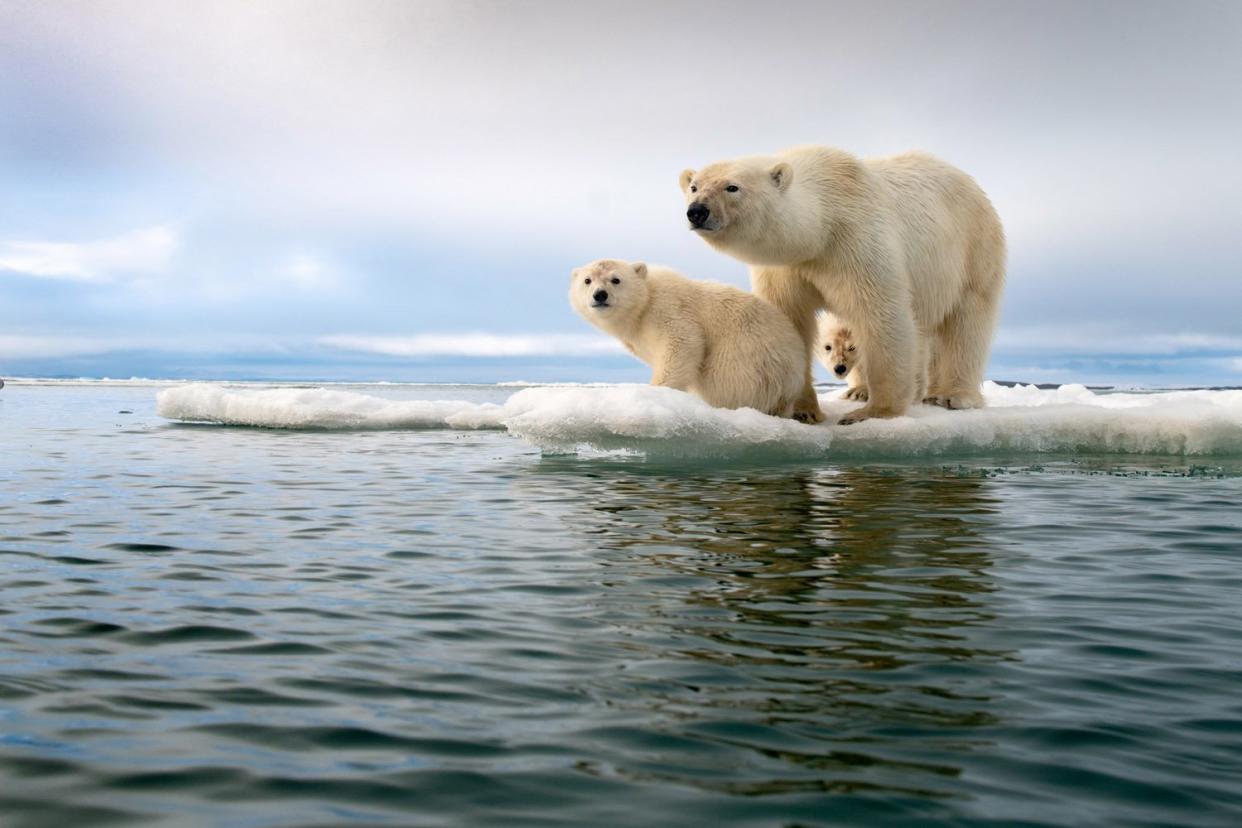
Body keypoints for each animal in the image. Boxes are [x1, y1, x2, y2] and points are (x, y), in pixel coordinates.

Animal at [685, 145, 1003, 424]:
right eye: (694, 186)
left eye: (732, 187)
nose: (697, 211)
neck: (820, 226)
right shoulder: (785, 269)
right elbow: (790, 324)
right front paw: (803, 411)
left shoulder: (856, 241)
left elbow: (881, 315)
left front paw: (874, 412)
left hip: (973, 250)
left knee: (967, 321)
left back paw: (952, 396)